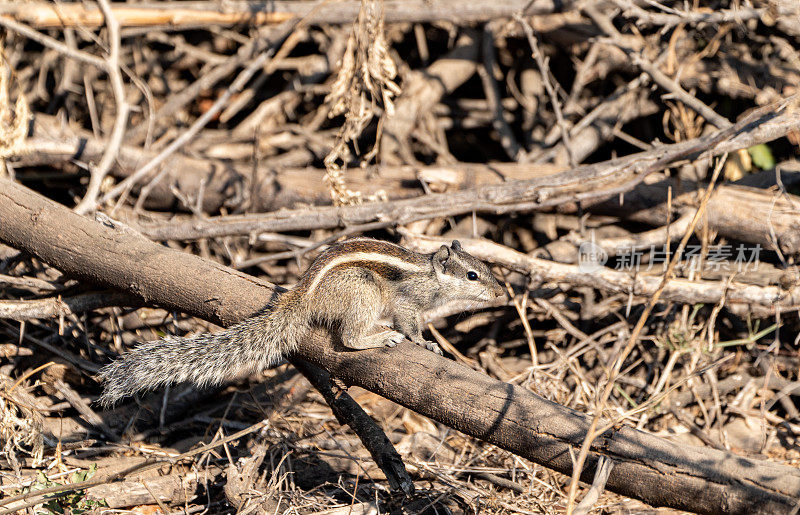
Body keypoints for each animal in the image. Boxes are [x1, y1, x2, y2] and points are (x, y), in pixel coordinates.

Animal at [98, 239, 500, 408]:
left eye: (484, 266)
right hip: (362, 290)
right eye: (472, 275)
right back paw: (377, 338)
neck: (431, 274)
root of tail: (305, 296)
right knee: (348, 337)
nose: (501, 292)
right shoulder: (406, 302)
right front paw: (424, 342)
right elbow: (410, 323)